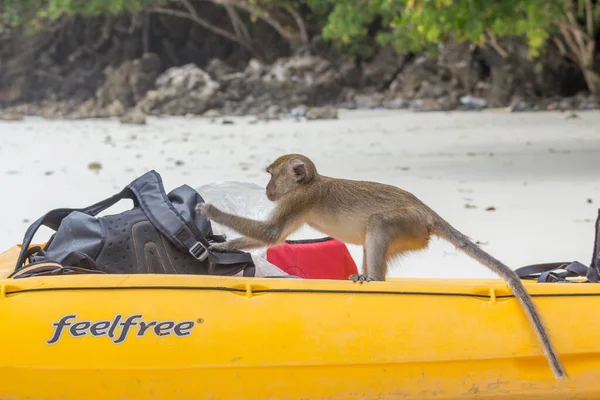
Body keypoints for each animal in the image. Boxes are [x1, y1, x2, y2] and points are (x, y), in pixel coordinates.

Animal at [197, 152, 568, 378]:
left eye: (274, 176)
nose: (267, 188)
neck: (311, 183)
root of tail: (426, 210)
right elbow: (271, 237)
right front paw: (223, 244)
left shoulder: (300, 199)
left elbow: (272, 234)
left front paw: (211, 214)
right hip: (413, 233)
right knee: (367, 236)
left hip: (409, 225)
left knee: (377, 224)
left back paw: (372, 278)